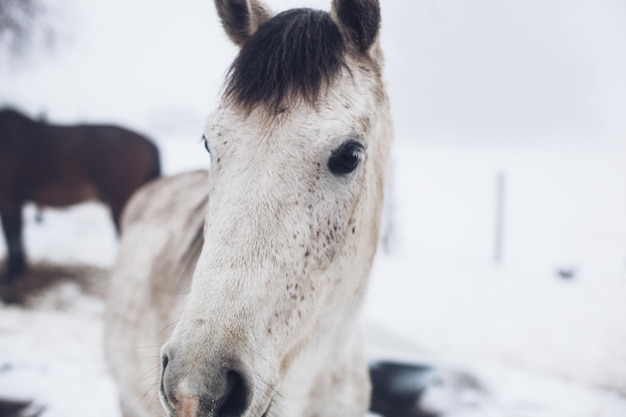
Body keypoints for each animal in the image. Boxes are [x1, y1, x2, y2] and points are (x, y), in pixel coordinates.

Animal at [0, 108, 160, 282]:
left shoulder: (9, 200)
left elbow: (12, 237)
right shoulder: (15, 201)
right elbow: (15, 236)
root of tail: (149, 143)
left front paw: (12, 274)